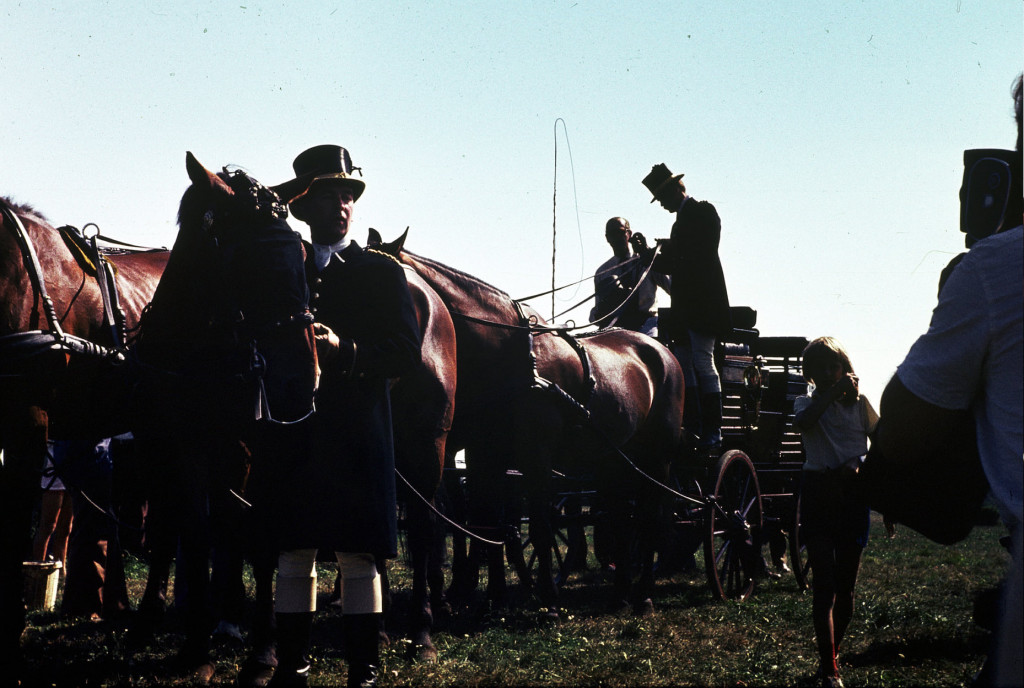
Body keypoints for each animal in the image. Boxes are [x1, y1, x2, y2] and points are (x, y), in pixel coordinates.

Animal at [395, 244, 684, 614]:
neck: (511, 357)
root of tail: (663, 353)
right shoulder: (484, 456)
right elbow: (487, 523)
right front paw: (487, 595)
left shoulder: (536, 457)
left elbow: (540, 526)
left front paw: (547, 595)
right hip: (614, 461)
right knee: (621, 519)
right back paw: (620, 594)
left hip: (658, 459)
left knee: (650, 520)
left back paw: (644, 594)